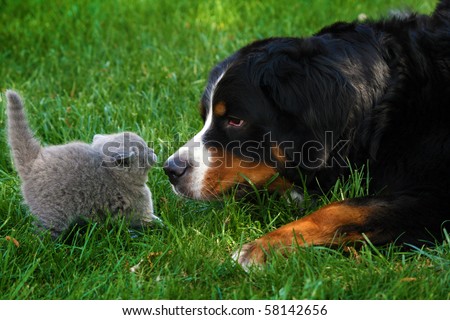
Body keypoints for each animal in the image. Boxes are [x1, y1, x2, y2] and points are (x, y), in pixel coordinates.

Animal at [6, 90, 159, 238]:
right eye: (145, 150)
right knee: (43, 233)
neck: (116, 177)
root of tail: (35, 161)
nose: (153, 151)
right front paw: (160, 225)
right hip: (52, 212)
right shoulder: (139, 210)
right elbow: (147, 221)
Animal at [163, 0, 450, 268]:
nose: (171, 169)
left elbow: (340, 210)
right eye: (205, 117)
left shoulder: (437, 197)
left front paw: (261, 247)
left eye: (235, 120)